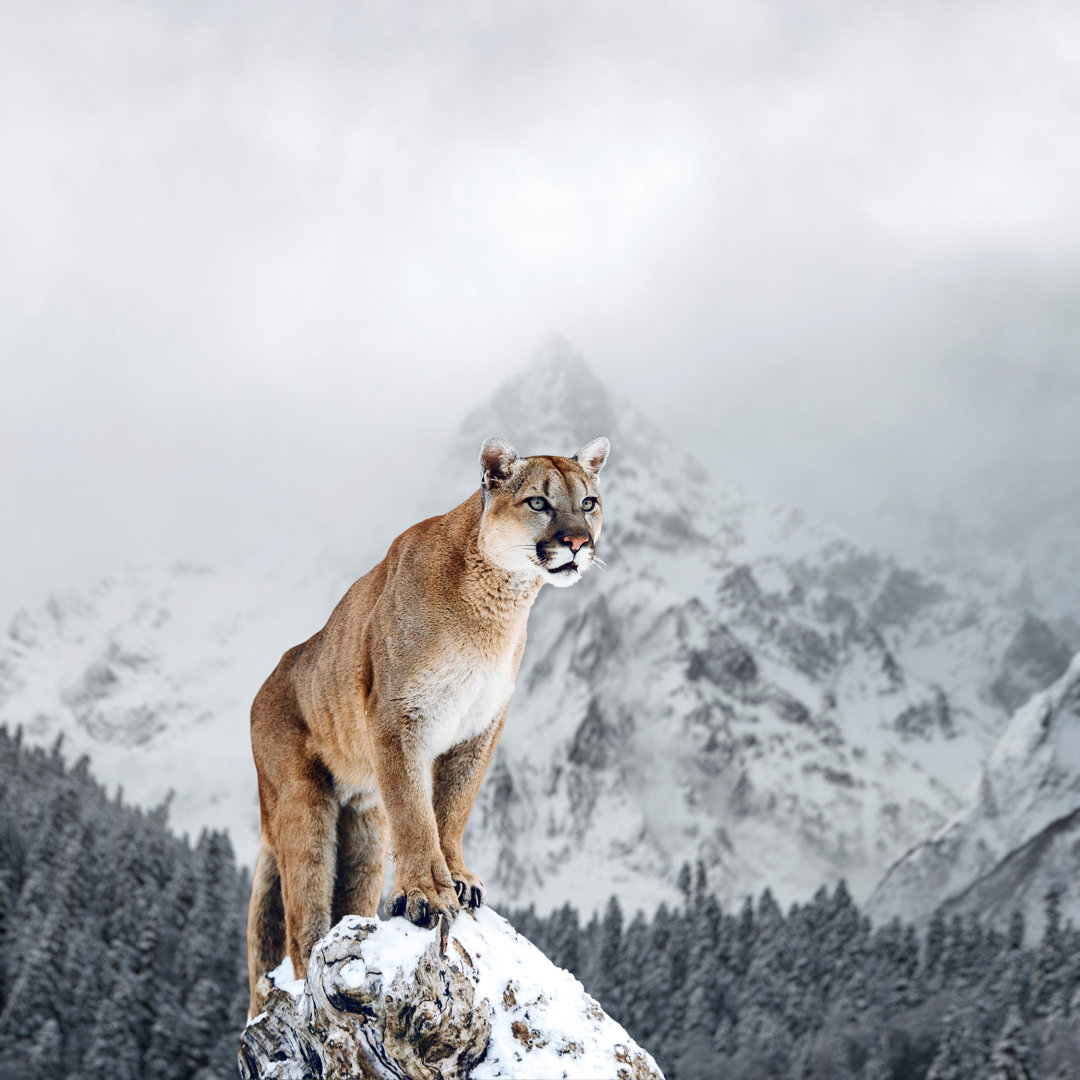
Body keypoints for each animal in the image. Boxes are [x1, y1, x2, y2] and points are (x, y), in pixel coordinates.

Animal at [247, 429, 613, 1010]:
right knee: (302, 920)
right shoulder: (399, 719)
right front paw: (426, 894)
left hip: (365, 823)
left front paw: (457, 878)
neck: (497, 606)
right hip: (303, 806)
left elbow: (453, 807)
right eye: (539, 502)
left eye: (589, 503)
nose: (578, 542)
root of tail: (266, 682)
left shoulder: (480, 727)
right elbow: (417, 813)